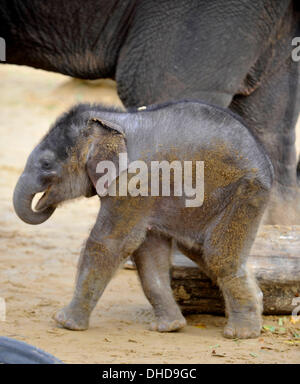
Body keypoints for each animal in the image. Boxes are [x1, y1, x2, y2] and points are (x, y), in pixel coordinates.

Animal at [12, 100, 274, 338]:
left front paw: (64, 322)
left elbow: (109, 243)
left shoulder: (133, 183)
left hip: (245, 193)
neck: (111, 122)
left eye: (46, 164)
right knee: (198, 250)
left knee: (219, 256)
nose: (44, 204)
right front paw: (168, 328)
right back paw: (255, 308)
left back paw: (241, 333)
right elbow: (148, 251)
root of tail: (267, 164)